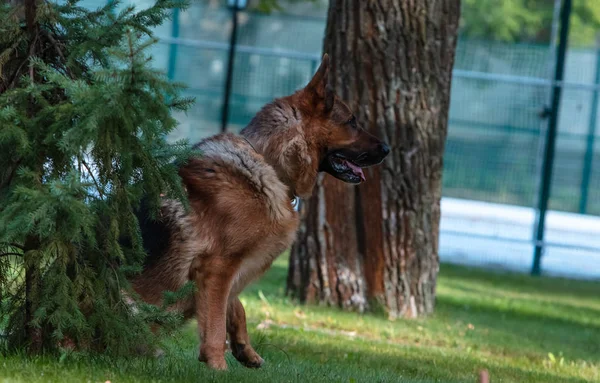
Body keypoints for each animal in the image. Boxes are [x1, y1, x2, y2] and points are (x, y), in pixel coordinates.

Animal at [132, 52, 390, 370]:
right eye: (352, 122)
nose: (388, 149)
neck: (269, 162)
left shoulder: (230, 270)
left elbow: (235, 306)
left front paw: (245, 349)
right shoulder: (217, 266)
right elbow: (214, 324)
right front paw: (217, 366)